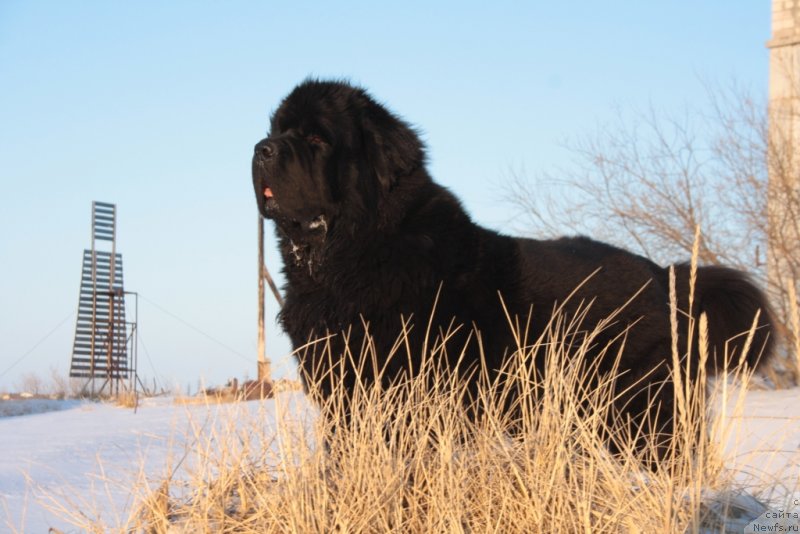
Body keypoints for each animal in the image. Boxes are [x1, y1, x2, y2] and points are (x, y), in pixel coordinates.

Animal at [252, 81, 776, 458]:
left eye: (317, 138)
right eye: (277, 129)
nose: (262, 148)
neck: (351, 253)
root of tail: (666, 275)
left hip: (640, 406)